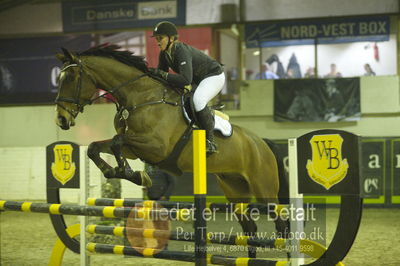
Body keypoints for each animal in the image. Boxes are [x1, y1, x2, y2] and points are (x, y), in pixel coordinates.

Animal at [54, 45, 290, 258]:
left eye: (71, 78)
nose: (61, 120)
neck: (141, 97)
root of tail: (262, 142)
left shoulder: (156, 147)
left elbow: (116, 141)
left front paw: (132, 174)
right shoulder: (134, 149)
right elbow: (97, 147)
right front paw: (122, 172)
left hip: (264, 188)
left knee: (281, 222)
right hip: (235, 190)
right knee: (250, 228)